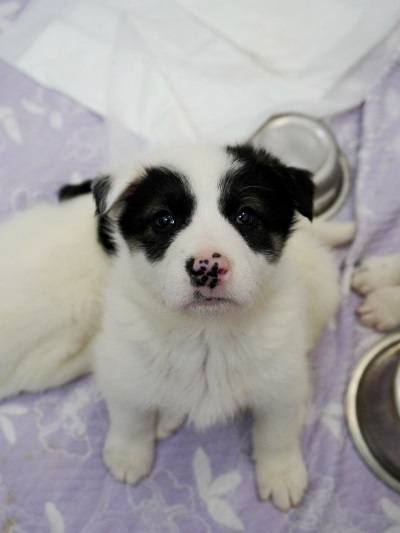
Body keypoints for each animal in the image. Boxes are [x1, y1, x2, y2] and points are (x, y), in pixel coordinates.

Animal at [0, 143, 354, 511]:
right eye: (164, 219)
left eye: (246, 216)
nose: (207, 267)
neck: (206, 333)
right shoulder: (121, 363)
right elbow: (129, 414)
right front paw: (129, 455)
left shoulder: (281, 376)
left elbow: (277, 431)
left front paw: (282, 474)